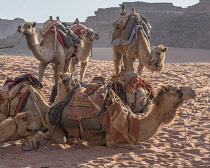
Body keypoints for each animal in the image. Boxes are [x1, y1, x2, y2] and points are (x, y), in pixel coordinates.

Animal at [45, 73, 196, 148]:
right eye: (177, 90)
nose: (193, 91)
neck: (133, 123)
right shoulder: (112, 141)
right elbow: (136, 147)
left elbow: (143, 144)